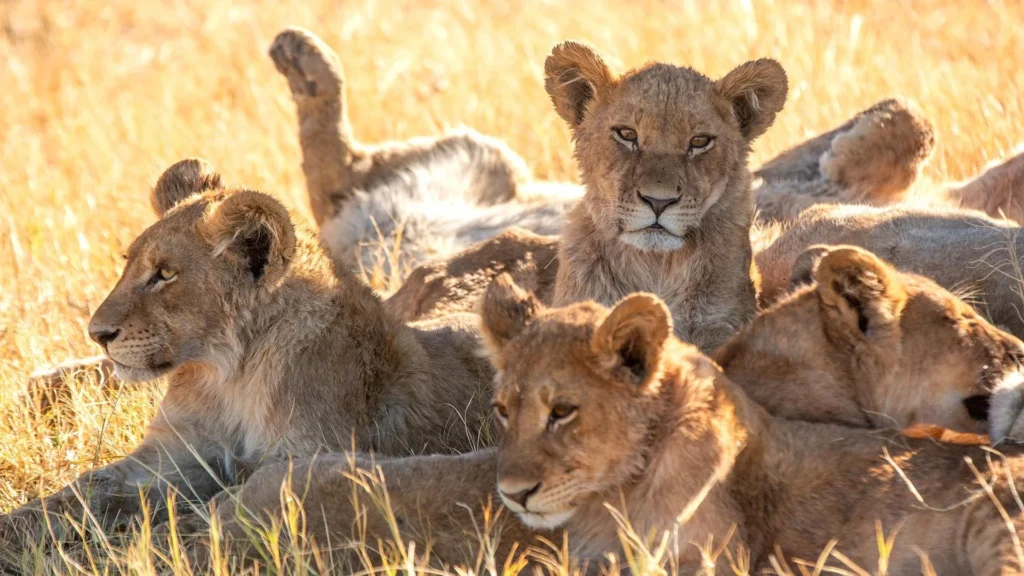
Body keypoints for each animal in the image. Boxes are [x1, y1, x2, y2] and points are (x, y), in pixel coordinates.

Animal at [0, 159, 497, 548]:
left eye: (165, 274)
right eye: (129, 264)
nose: (97, 334)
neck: (226, 373)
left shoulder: (306, 457)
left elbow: (218, 511)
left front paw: (149, 549)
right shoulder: (174, 454)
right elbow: (83, 490)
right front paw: (15, 531)